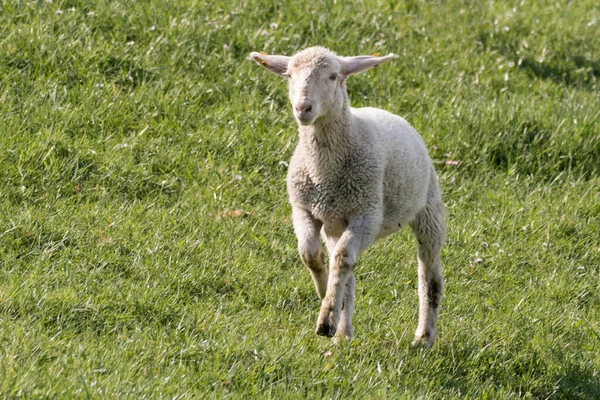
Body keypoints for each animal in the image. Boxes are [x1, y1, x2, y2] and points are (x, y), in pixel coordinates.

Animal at [250, 47, 446, 346]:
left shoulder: (367, 214)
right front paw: (327, 300)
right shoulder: (303, 208)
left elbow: (341, 259)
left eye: (333, 76)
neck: (324, 172)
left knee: (429, 275)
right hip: (335, 223)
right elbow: (310, 254)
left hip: (428, 209)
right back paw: (342, 331)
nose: (303, 108)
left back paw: (424, 337)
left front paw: (327, 311)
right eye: (289, 75)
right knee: (344, 270)